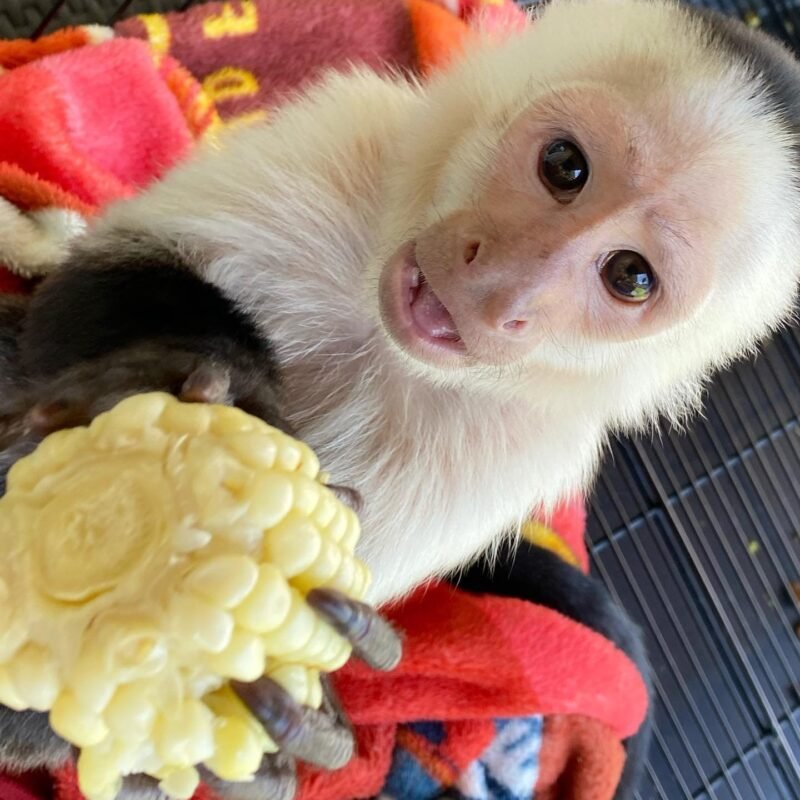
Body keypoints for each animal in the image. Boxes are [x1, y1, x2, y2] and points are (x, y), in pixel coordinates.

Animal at [1, 0, 800, 796]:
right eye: (565, 166)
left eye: (630, 276)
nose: (506, 284)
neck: (382, 338)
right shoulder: (347, 134)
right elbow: (126, 260)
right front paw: (157, 373)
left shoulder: (519, 453)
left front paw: (284, 724)